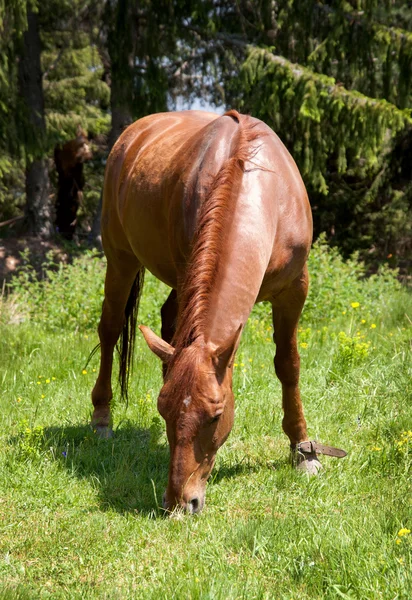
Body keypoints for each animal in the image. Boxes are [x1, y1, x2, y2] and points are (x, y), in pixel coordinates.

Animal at [91, 110, 346, 512]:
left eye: (215, 415)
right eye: (163, 410)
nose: (180, 502)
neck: (265, 193)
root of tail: (131, 135)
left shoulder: (295, 290)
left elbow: (288, 365)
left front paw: (303, 451)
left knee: (165, 321)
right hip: (120, 259)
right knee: (111, 327)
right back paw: (101, 418)